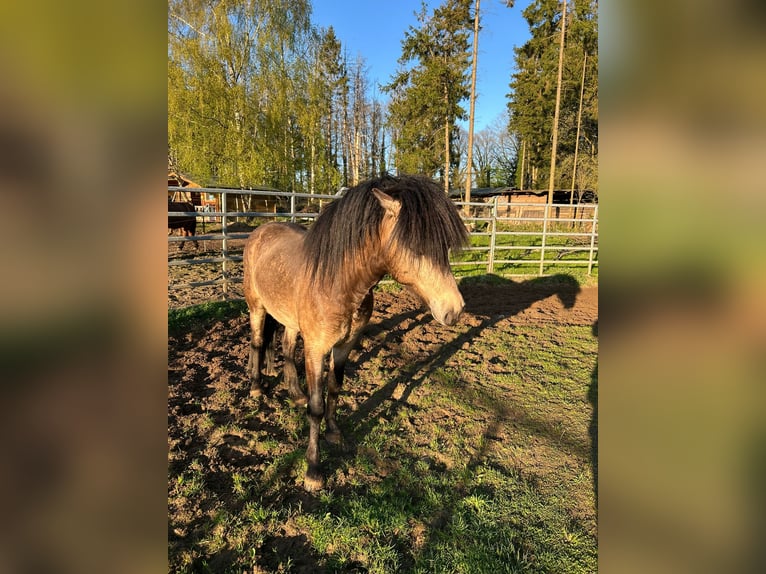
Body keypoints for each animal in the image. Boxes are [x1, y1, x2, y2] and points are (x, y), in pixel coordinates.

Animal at [243, 174, 469, 491]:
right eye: (416, 247)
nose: (455, 309)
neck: (338, 283)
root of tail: (260, 231)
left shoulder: (345, 345)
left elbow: (335, 388)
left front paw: (334, 432)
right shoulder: (315, 350)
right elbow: (316, 405)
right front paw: (313, 471)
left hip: (288, 319)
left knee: (285, 348)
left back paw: (294, 393)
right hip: (257, 308)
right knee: (258, 341)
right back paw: (255, 387)